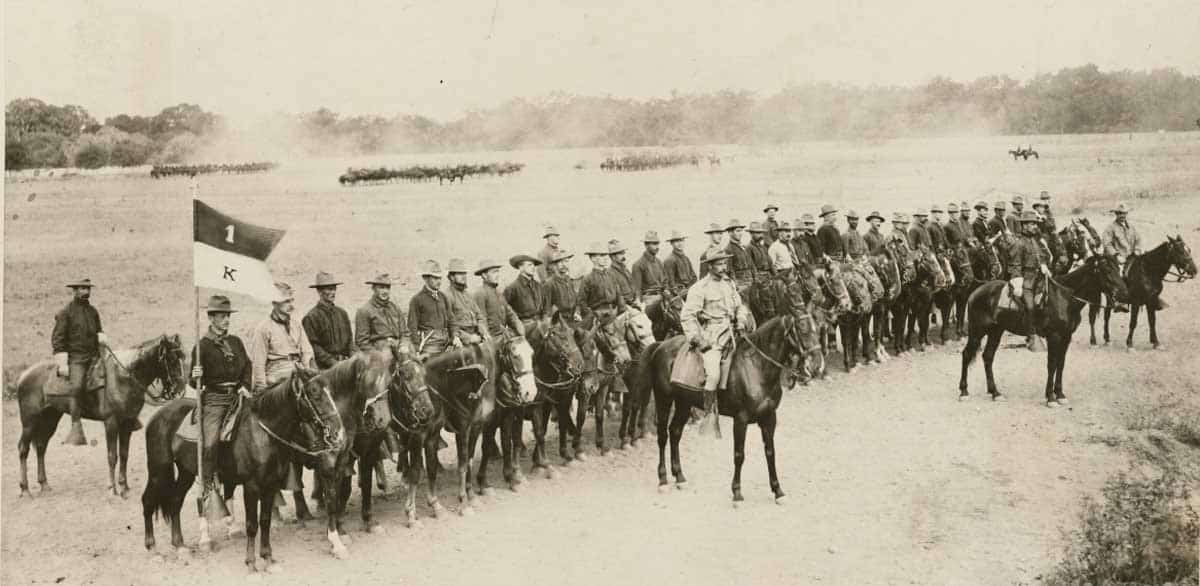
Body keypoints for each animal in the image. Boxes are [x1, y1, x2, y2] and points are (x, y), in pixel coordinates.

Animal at [17, 336, 187, 497]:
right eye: (171, 360)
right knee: (23, 449)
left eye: (182, 357)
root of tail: (23, 376)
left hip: (50, 418)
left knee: (41, 447)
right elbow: (112, 456)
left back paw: (44, 485)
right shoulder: (111, 423)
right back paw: (25, 490)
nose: (180, 388)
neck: (123, 378)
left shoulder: (127, 424)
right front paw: (112, 489)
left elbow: (124, 455)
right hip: (29, 422)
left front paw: (124, 487)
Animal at [143, 367, 348, 569]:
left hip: (186, 471)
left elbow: (264, 521)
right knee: (148, 501)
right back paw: (153, 550)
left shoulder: (270, 485)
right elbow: (252, 525)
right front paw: (251, 564)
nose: (338, 433)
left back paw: (180, 547)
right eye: (314, 393)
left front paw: (267, 558)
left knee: (175, 501)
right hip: (159, 470)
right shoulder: (251, 487)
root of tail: (159, 415)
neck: (262, 434)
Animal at [960, 254, 1128, 405]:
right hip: (977, 331)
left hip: (996, 331)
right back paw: (964, 391)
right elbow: (1051, 364)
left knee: (988, 357)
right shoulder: (1054, 336)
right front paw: (1051, 397)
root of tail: (975, 292)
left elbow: (1061, 364)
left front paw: (1060, 394)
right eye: (1107, 270)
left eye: (1118, 268)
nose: (1124, 293)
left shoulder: (1066, 337)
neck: (1066, 297)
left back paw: (995, 393)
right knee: (967, 354)